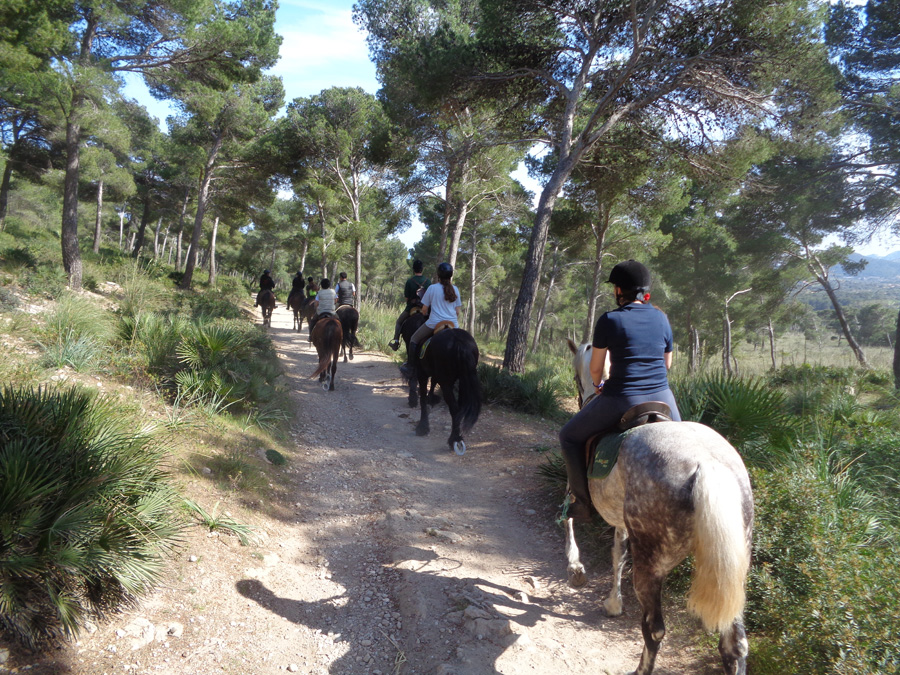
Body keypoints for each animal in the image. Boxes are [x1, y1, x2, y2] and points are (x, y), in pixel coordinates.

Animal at [568, 344, 752, 675]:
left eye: (577, 376)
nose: (580, 397)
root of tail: (706, 463)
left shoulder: (573, 492)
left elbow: (569, 521)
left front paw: (575, 567)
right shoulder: (621, 522)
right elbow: (617, 554)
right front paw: (613, 603)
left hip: (652, 567)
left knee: (654, 630)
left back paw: (640, 669)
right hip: (735, 567)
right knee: (735, 644)